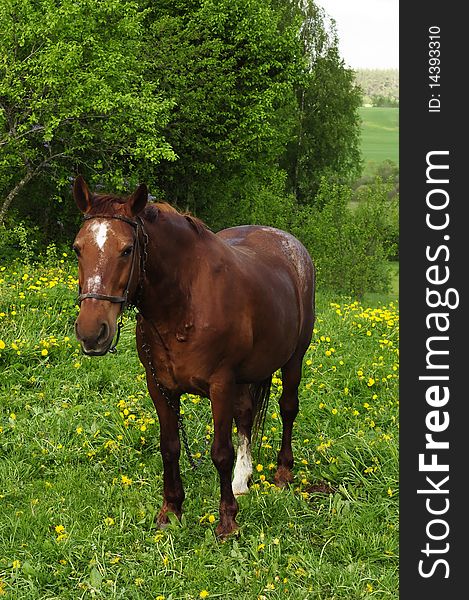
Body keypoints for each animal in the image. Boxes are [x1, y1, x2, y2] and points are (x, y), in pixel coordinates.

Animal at [72, 176, 314, 536]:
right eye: (78, 248)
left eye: (127, 249)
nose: (91, 332)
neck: (183, 303)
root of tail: (290, 245)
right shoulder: (160, 387)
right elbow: (170, 447)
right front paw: (171, 511)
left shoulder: (221, 384)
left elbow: (221, 452)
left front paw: (227, 521)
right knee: (245, 416)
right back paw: (242, 479)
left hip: (293, 359)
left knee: (287, 409)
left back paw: (283, 473)